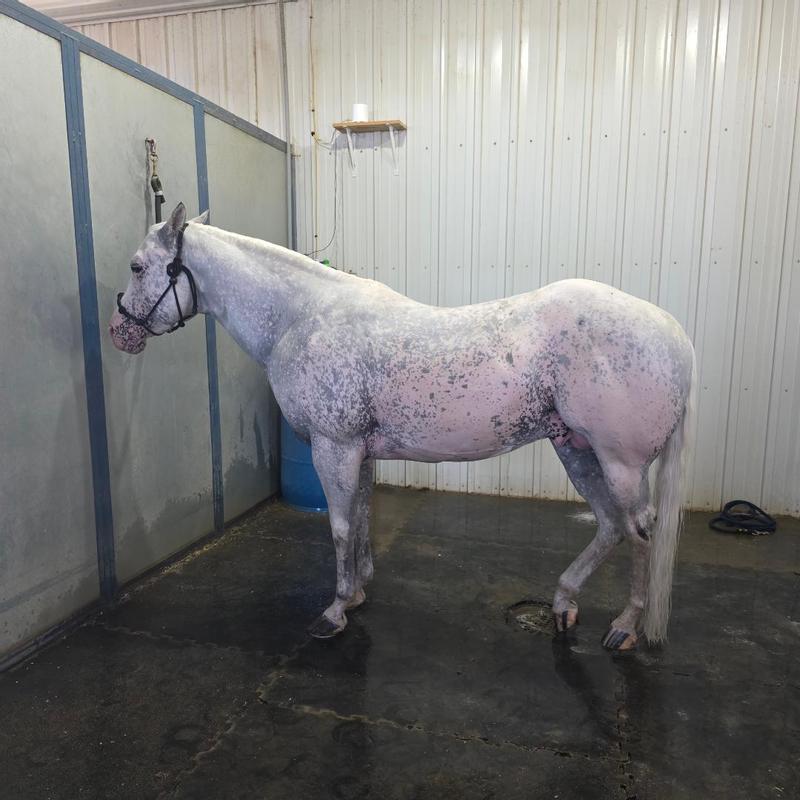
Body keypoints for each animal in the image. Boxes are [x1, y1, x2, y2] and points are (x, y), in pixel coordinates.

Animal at [109, 203, 696, 651]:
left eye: (137, 267)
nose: (120, 332)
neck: (301, 316)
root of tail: (674, 333)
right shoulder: (360, 452)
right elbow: (361, 519)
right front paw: (357, 593)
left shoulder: (334, 448)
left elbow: (340, 526)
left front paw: (333, 612)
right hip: (575, 449)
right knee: (610, 526)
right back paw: (563, 604)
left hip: (620, 463)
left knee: (639, 531)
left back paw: (625, 628)